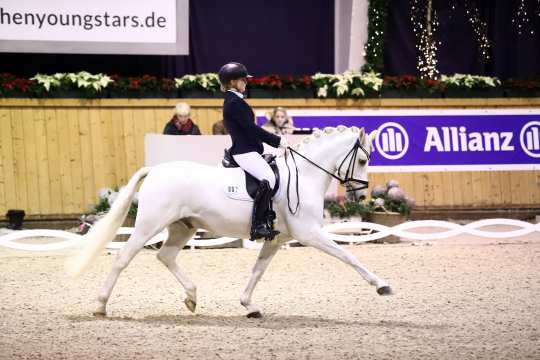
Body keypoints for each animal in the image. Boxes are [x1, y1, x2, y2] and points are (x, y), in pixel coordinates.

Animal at [67, 125, 392, 316]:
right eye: (363, 160)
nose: (359, 195)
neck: (305, 174)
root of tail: (156, 170)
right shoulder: (310, 233)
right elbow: (349, 256)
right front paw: (381, 286)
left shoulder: (278, 238)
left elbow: (258, 270)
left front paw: (249, 305)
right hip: (150, 225)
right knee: (123, 257)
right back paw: (101, 305)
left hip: (183, 227)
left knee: (165, 256)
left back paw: (192, 297)